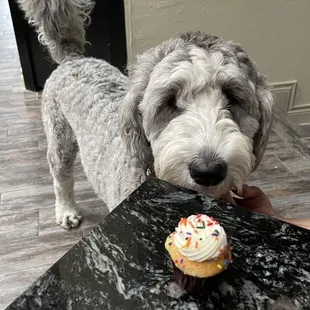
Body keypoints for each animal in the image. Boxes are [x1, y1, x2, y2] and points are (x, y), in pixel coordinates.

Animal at [17, 0, 274, 228]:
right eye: (169, 100)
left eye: (232, 98)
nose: (208, 171)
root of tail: (74, 57)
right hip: (59, 139)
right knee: (61, 179)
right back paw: (66, 210)